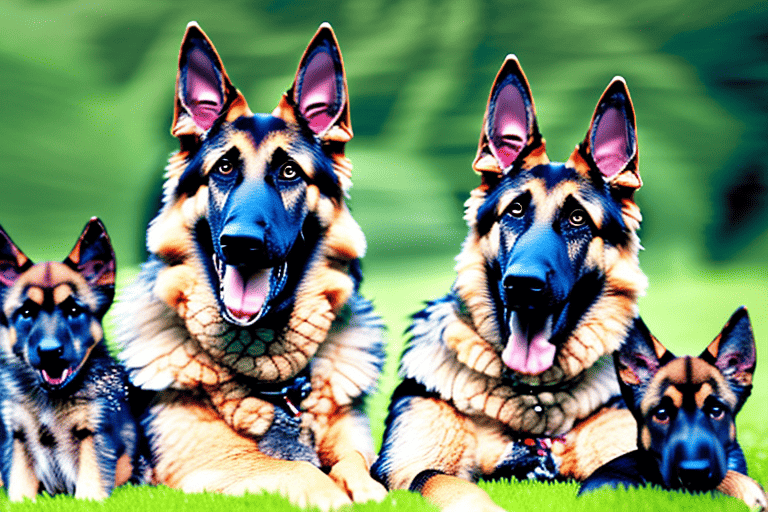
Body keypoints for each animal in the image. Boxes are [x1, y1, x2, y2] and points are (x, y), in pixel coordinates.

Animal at [0, 219, 146, 500]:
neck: (50, 399)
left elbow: (90, 486)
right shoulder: (19, 439)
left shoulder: (94, 435)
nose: (49, 351)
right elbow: (20, 490)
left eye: (74, 310)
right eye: (26, 312)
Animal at [113, 22, 384, 510]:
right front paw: (332, 493)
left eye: (290, 172)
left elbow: (358, 465)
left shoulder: (352, 441)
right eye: (223, 168)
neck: (279, 386)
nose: (242, 244)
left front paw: (369, 489)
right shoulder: (212, 461)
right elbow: (301, 470)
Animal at [372, 55, 648, 508]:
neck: (534, 401)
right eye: (515, 211)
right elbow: (449, 483)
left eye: (578, 219)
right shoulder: (410, 468)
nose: (523, 285)